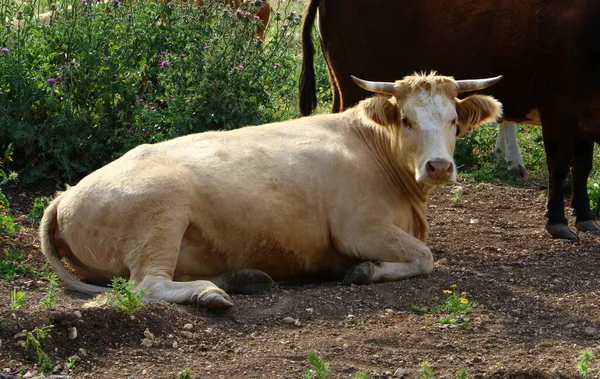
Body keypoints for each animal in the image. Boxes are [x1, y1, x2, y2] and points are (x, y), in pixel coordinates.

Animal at [39, 72, 504, 308]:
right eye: (407, 120)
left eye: (453, 121)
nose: (439, 166)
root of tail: (64, 195)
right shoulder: (358, 228)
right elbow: (424, 257)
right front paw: (366, 270)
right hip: (161, 212)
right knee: (147, 285)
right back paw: (211, 294)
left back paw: (242, 278)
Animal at [300, 0, 600, 240]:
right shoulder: (559, 109)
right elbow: (559, 165)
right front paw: (558, 221)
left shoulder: (584, 115)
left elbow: (582, 166)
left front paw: (585, 215)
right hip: (353, 89)